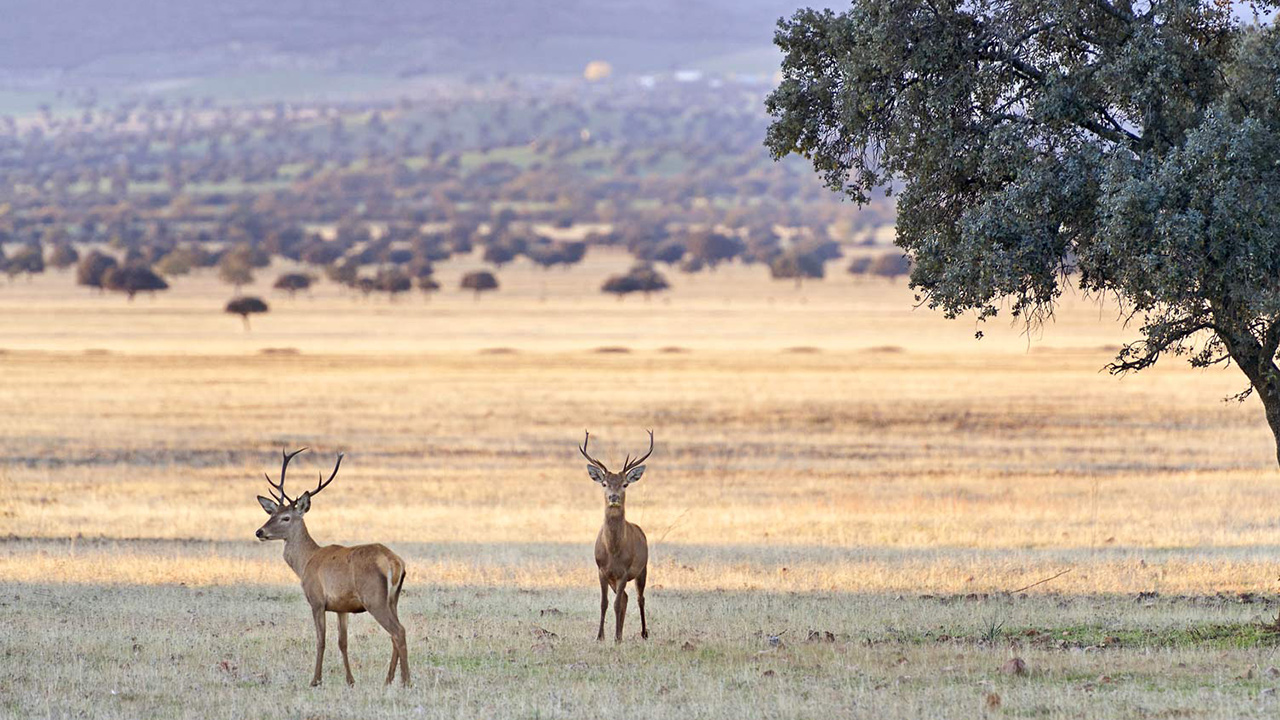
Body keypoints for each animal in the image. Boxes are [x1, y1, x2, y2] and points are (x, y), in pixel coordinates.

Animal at [254, 448, 410, 687]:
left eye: (286, 517)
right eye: (270, 514)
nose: (259, 532)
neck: (305, 562)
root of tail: (394, 562)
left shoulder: (317, 599)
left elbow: (321, 640)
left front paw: (315, 680)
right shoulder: (341, 607)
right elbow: (342, 642)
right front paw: (350, 680)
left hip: (374, 597)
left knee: (398, 631)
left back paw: (406, 681)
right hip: (393, 599)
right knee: (395, 633)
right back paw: (388, 680)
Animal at [580, 430, 653, 643]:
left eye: (625, 484)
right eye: (604, 483)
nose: (613, 497)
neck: (613, 551)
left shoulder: (624, 572)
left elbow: (616, 604)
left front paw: (616, 637)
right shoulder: (602, 571)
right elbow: (604, 603)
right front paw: (600, 636)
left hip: (643, 569)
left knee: (639, 598)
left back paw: (643, 633)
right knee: (627, 598)